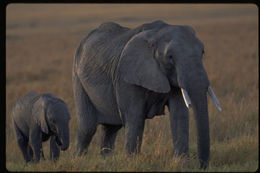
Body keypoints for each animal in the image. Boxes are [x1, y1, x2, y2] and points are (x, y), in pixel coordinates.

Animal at [73, 20, 221, 169]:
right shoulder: (126, 78)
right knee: (87, 128)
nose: (202, 166)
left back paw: (105, 161)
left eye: (202, 52)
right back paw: (78, 160)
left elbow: (179, 115)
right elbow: (135, 117)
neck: (156, 34)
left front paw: (182, 165)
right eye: (170, 57)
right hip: (78, 79)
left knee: (110, 129)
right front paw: (131, 163)